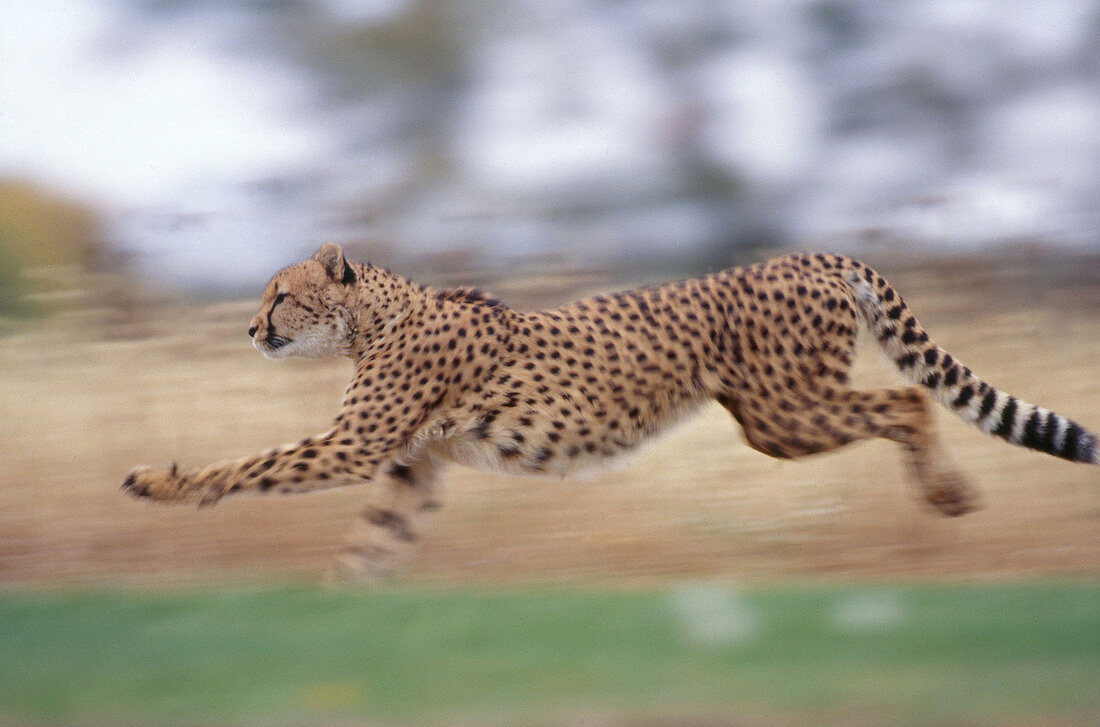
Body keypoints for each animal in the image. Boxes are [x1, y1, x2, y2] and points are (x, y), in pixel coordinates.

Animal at [124, 244, 1095, 576]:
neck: (377, 316)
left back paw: (948, 495)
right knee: (908, 397)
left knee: (907, 398)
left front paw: (161, 482)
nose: (252, 327)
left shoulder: (355, 444)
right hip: (782, 412)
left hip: (781, 414)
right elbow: (372, 547)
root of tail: (811, 254)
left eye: (281, 296)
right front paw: (344, 610)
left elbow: (251, 463)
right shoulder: (410, 469)